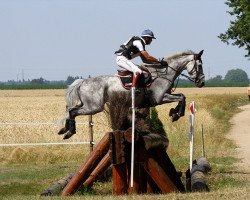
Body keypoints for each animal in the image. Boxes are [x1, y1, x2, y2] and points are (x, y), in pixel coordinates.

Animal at [58, 49, 205, 139]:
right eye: (199, 65)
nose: (202, 82)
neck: (164, 74)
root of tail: (83, 81)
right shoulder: (160, 98)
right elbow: (182, 97)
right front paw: (176, 114)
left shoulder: (163, 97)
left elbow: (182, 96)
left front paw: (174, 113)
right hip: (94, 107)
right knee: (72, 111)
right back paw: (69, 131)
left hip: (89, 105)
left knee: (69, 110)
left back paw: (65, 129)